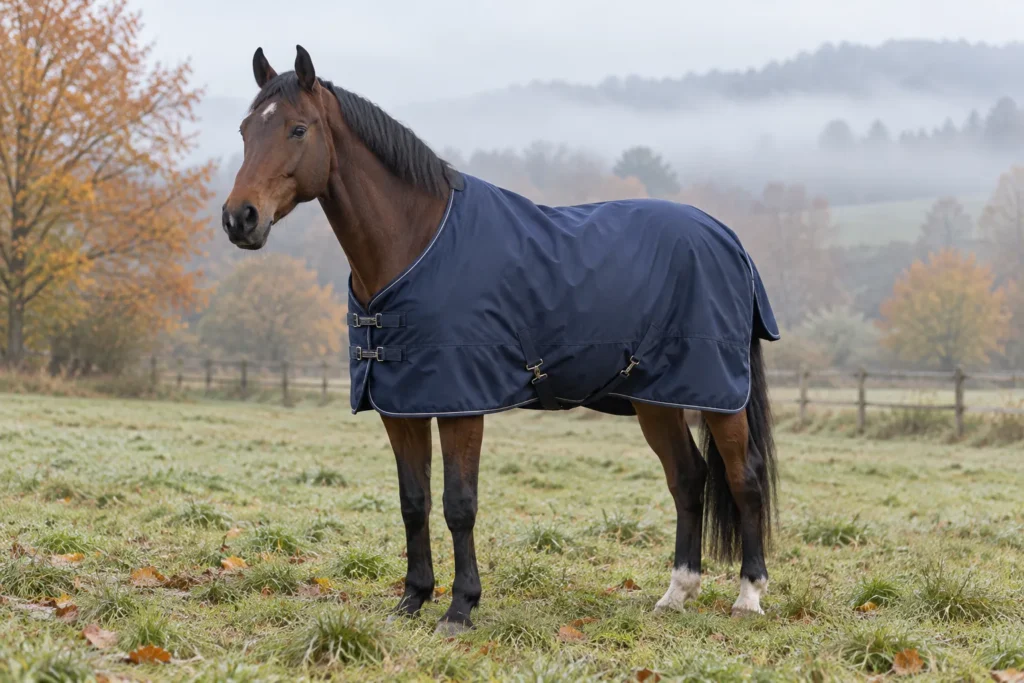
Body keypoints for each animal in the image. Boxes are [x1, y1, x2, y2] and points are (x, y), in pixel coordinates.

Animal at [222, 45, 780, 635]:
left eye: (298, 129)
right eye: (245, 130)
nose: (240, 218)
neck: (417, 243)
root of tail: (728, 240)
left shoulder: (462, 406)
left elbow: (458, 504)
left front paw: (460, 607)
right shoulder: (401, 405)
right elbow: (413, 501)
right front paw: (413, 598)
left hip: (718, 396)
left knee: (743, 478)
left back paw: (748, 595)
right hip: (657, 399)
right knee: (688, 478)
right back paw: (677, 592)